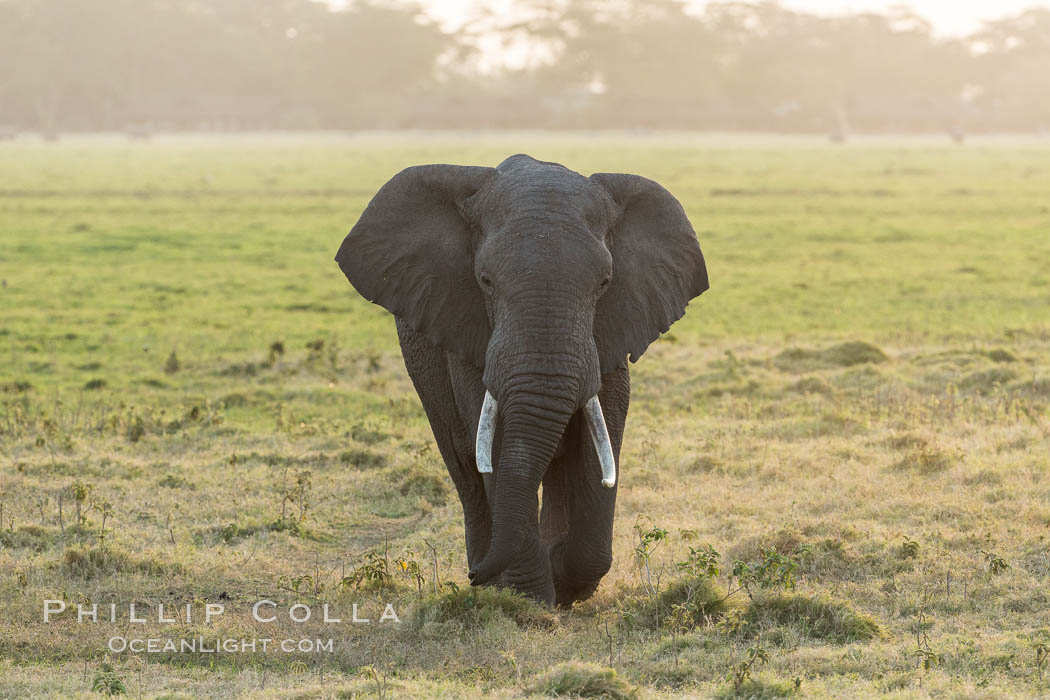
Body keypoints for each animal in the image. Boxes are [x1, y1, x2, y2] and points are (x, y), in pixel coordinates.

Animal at [336, 154, 709, 608]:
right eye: (484, 280)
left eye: (604, 283)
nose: (473, 575)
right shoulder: (467, 328)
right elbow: (495, 437)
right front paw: (527, 598)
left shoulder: (615, 326)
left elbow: (605, 423)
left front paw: (563, 581)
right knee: (464, 467)